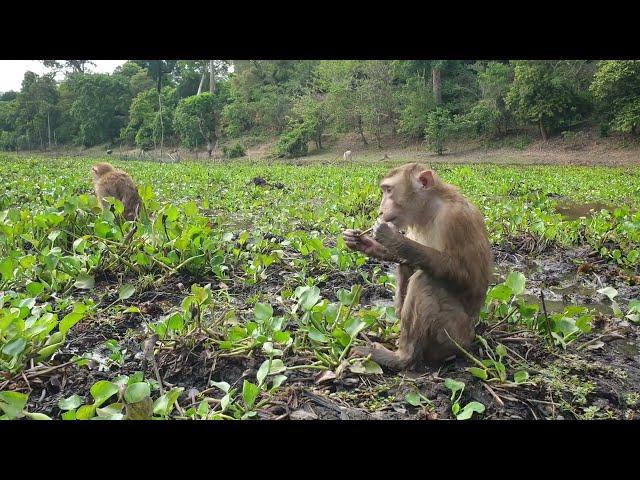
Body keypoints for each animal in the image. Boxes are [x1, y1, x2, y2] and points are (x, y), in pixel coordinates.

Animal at [342, 163, 492, 370]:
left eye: (389, 190)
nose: (381, 209)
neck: (430, 209)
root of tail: (472, 334)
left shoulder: (455, 219)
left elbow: (466, 276)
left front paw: (394, 238)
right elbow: (404, 259)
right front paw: (364, 242)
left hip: (453, 336)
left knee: (424, 280)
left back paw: (400, 358)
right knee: (407, 267)